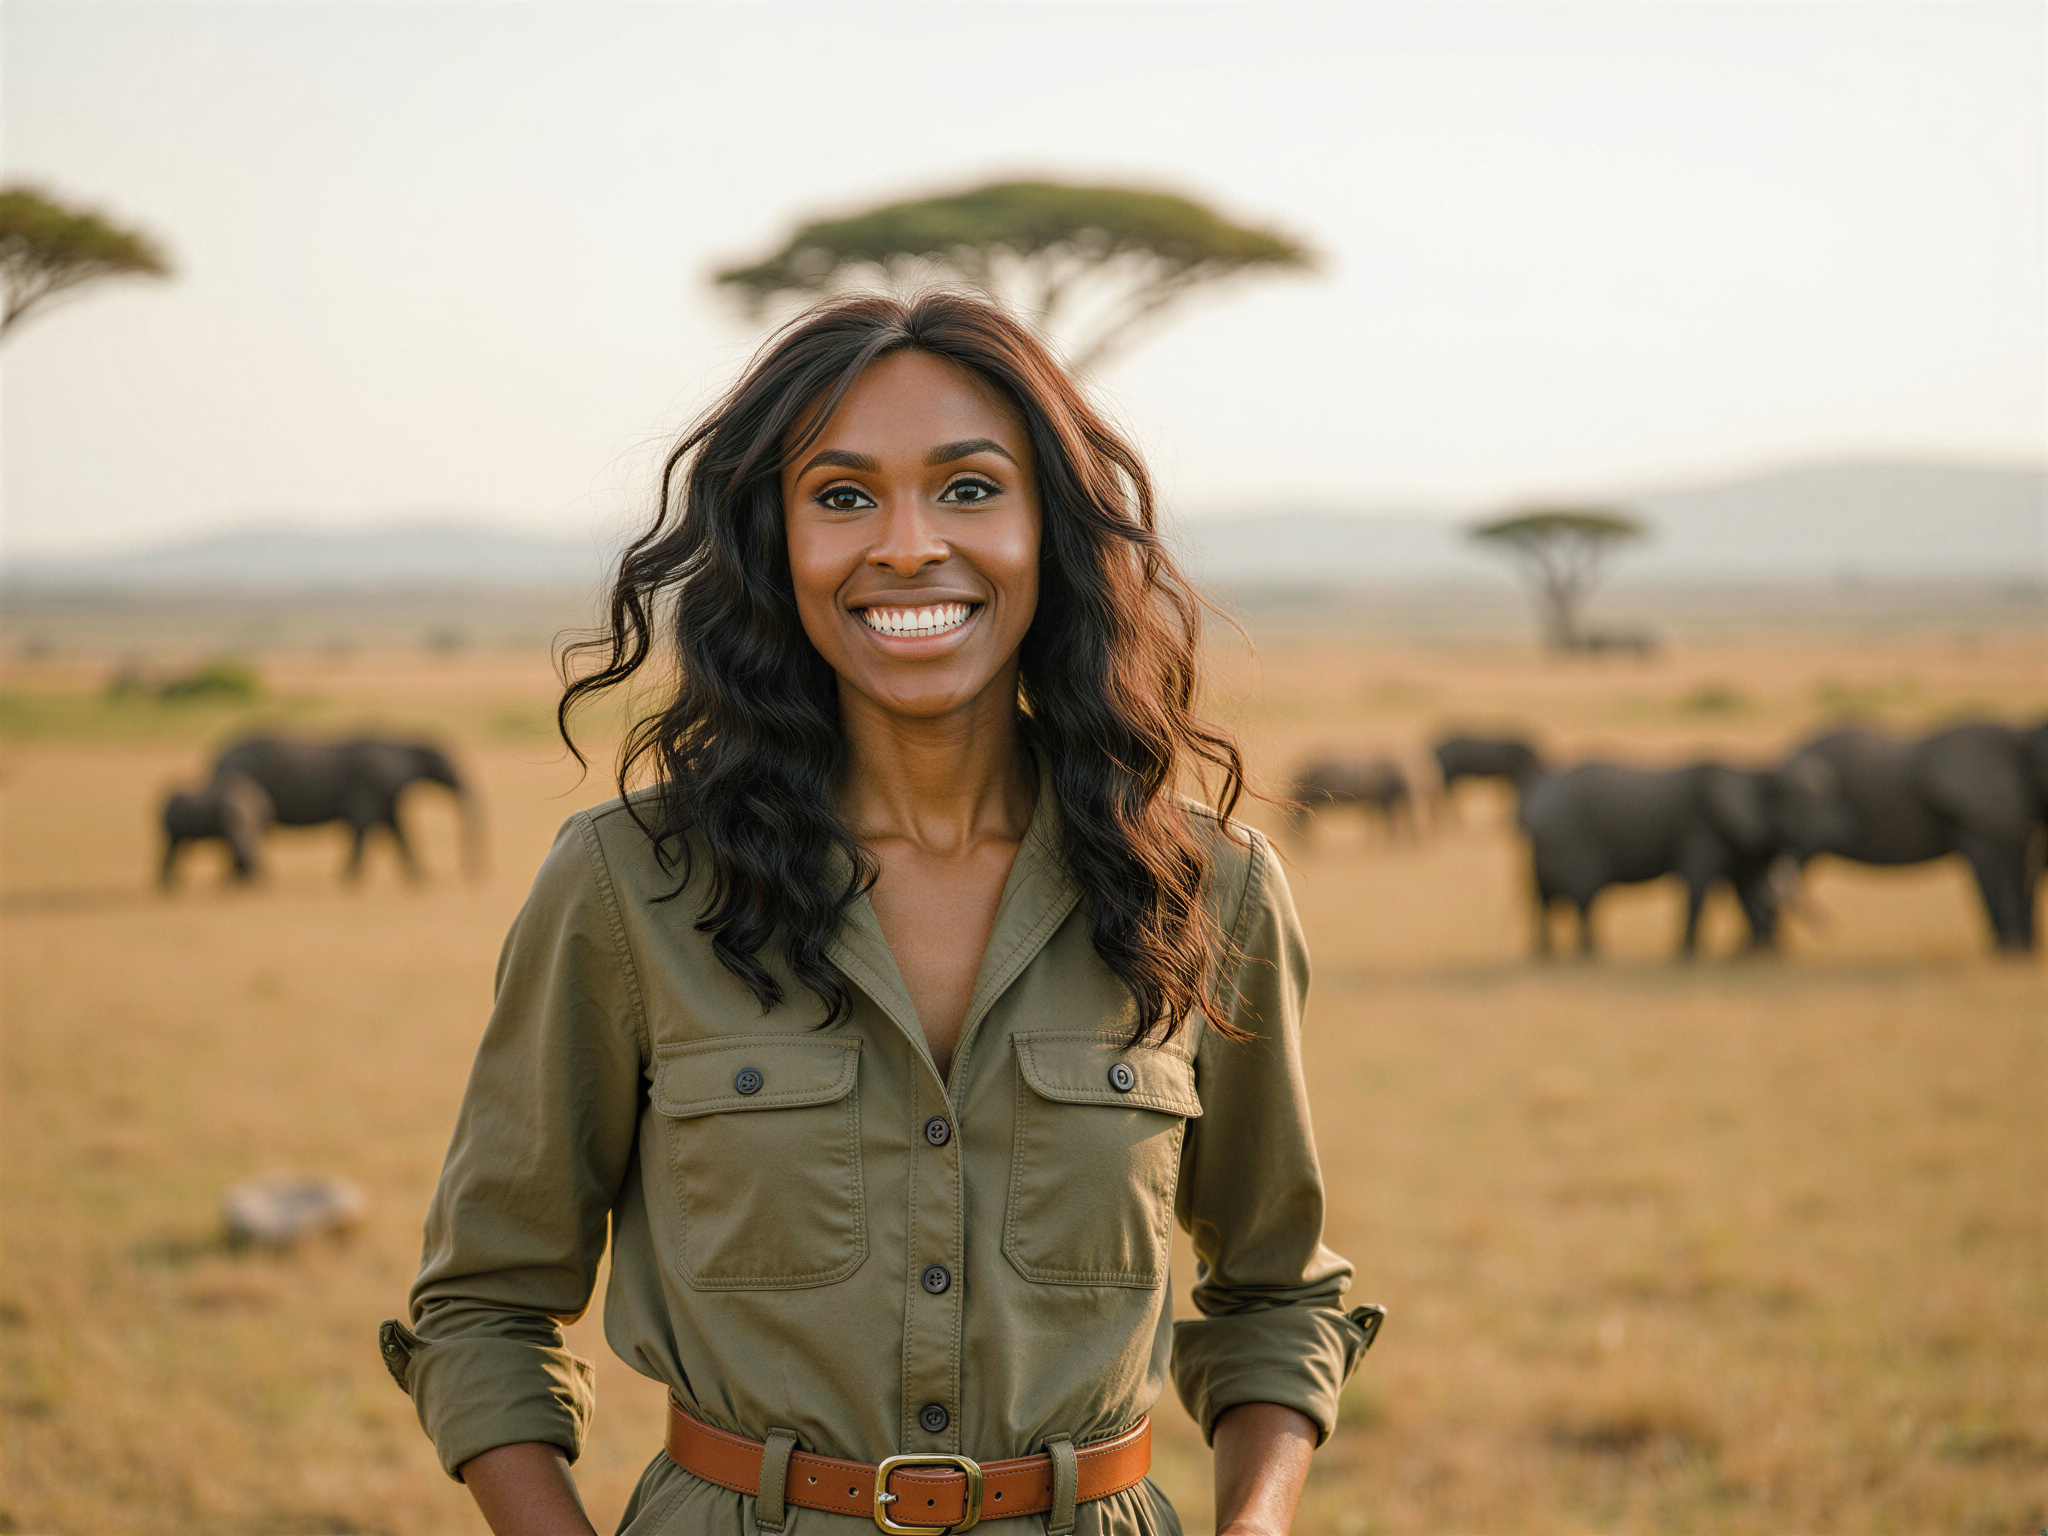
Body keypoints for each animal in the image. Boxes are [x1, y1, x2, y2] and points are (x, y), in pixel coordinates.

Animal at [206, 735, 484, 883]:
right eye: (447, 768)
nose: (469, 876)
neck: (406, 743)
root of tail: (218, 756)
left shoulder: (384, 792)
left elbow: (396, 829)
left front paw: (421, 880)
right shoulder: (370, 786)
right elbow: (367, 827)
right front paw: (349, 880)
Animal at [1520, 757, 1851, 958]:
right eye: (1801, 806)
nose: (1838, 833)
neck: (1754, 773)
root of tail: (1536, 803)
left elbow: (1746, 891)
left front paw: (1757, 954)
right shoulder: (1702, 831)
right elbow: (1699, 887)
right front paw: (1688, 955)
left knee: (1545, 901)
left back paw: (1548, 955)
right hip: (1571, 842)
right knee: (1584, 899)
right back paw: (1592, 954)